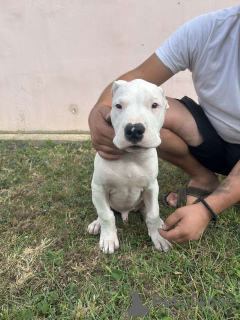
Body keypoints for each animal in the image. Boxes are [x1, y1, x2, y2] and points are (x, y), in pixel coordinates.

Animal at [88, 79, 172, 252]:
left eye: (154, 105)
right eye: (118, 106)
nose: (134, 130)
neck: (131, 157)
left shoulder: (151, 187)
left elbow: (153, 214)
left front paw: (158, 237)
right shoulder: (99, 187)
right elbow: (106, 215)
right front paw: (108, 239)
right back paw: (96, 224)